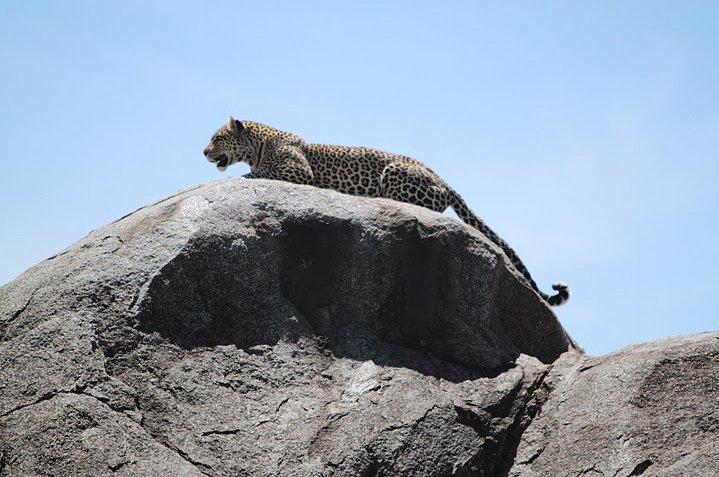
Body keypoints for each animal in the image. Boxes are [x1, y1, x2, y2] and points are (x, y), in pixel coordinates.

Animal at [201, 117, 568, 306]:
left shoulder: (298, 173)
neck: (258, 144)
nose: (204, 152)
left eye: (217, 137)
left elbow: (257, 174)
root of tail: (444, 181)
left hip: (395, 174)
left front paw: (238, 176)